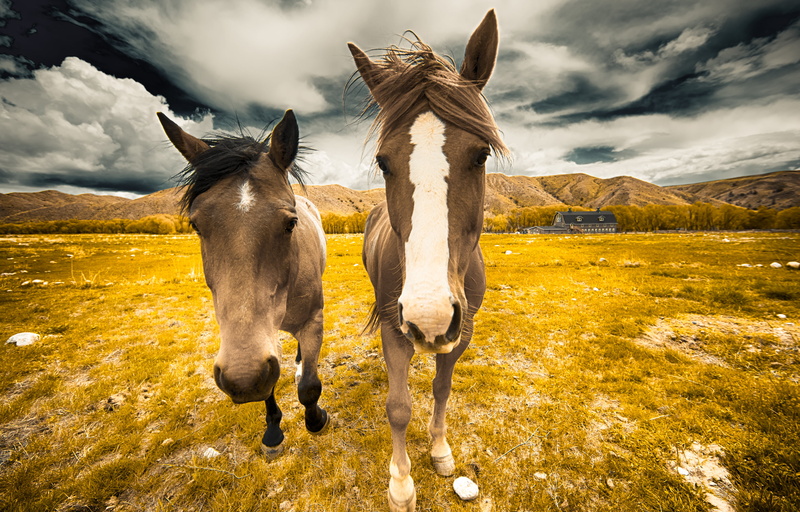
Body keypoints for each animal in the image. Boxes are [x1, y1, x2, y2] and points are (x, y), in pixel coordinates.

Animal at [157, 109, 330, 458]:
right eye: (196, 225)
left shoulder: (313, 321)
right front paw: (273, 431)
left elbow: (309, 386)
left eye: (290, 223)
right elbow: (269, 388)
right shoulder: (260, 343)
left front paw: (316, 419)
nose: (242, 378)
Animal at [348, 10, 507, 511]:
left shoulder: (462, 329)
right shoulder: (394, 326)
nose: (429, 318)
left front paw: (439, 450)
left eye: (480, 154)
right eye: (384, 162)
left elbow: (442, 387)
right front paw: (401, 482)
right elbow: (399, 407)